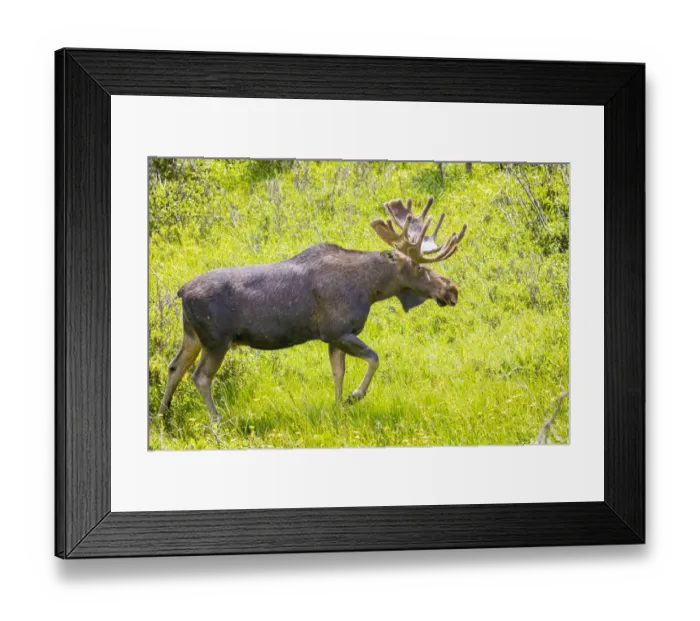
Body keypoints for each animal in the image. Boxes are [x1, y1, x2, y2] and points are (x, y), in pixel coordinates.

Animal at [158, 196, 467, 424]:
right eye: (419, 267)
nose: (451, 290)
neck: (371, 289)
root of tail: (181, 291)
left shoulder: (336, 336)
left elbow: (338, 373)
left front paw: (339, 408)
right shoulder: (336, 330)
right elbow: (374, 358)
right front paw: (354, 396)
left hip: (192, 335)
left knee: (174, 366)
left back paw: (163, 416)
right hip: (216, 340)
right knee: (200, 376)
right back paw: (217, 422)